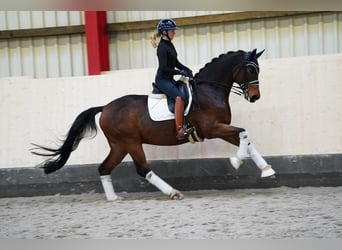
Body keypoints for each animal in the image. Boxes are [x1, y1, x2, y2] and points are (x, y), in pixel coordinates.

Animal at [30, 48, 274, 201]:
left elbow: (246, 139)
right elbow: (244, 134)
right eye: (250, 69)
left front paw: (266, 170)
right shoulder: (212, 128)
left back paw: (113, 198)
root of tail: (105, 107)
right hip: (131, 142)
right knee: (142, 168)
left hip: (119, 145)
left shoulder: (221, 129)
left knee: (104, 167)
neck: (209, 90)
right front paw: (236, 162)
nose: (255, 97)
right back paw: (173, 192)